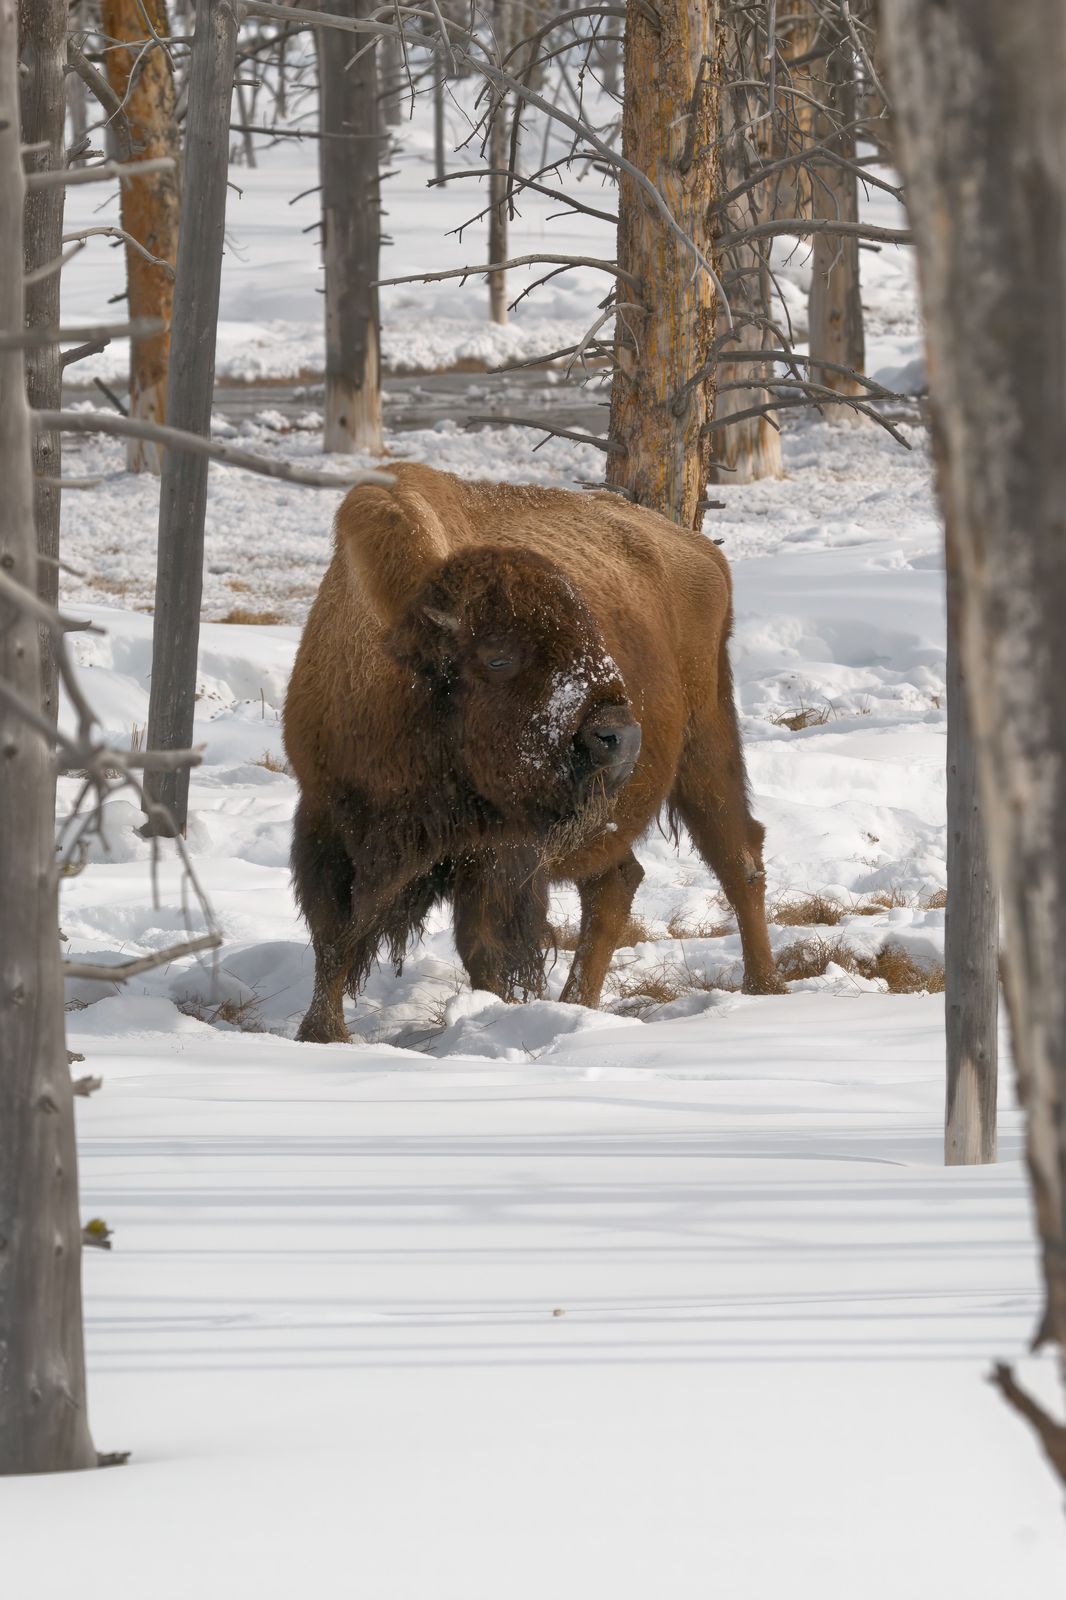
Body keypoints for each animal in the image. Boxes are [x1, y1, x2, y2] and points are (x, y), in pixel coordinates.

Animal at [283, 462, 778, 1043]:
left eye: (590, 631)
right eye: (498, 658)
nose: (619, 737)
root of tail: (704, 552)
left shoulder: (498, 853)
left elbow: (484, 945)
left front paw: (487, 1017)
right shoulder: (328, 818)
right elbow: (333, 934)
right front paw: (320, 1033)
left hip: (705, 745)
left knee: (739, 860)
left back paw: (763, 989)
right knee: (616, 883)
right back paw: (579, 1003)